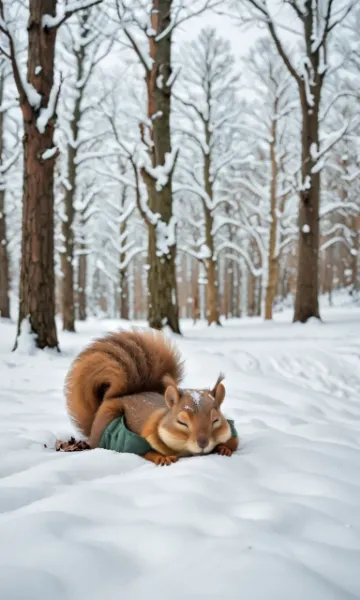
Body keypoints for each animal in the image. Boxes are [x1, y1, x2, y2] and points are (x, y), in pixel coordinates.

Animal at [64, 328, 239, 464]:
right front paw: (161, 458)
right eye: (181, 422)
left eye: (216, 420)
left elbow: (234, 441)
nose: (203, 443)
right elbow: (143, 452)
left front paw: (224, 448)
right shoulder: (138, 438)